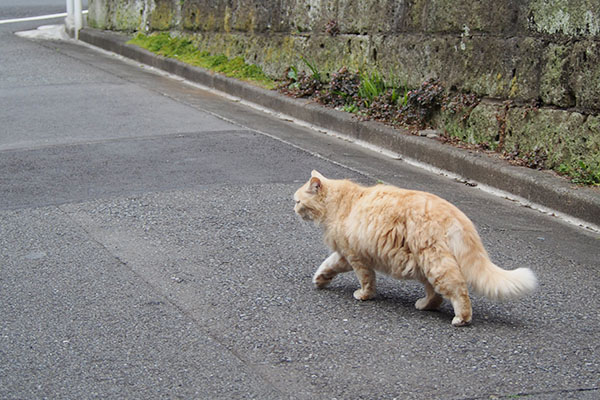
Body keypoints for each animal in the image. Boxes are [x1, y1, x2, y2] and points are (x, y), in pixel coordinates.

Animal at [296, 170, 540, 326]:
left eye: (298, 202)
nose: (293, 208)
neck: (341, 203)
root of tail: (457, 215)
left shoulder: (356, 257)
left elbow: (366, 280)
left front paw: (364, 295)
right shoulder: (346, 255)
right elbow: (328, 265)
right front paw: (320, 280)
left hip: (435, 263)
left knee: (458, 291)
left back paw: (461, 318)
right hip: (424, 265)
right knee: (437, 296)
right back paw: (424, 305)